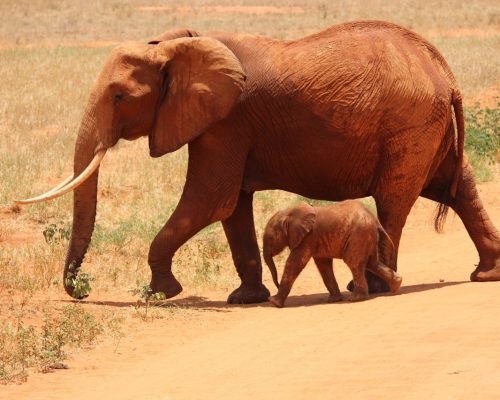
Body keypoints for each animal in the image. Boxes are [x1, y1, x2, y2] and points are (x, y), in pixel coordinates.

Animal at [266, 202, 402, 308]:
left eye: (271, 238)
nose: (276, 285)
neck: (288, 213)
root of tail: (375, 220)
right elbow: (323, 265)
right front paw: (334, 300)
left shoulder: (307, 238)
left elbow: (294, 263)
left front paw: (274, 302)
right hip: (367, 236)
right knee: (372, 263)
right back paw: (396, 286)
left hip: (359, 235)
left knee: (354, 263)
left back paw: (356, 299)